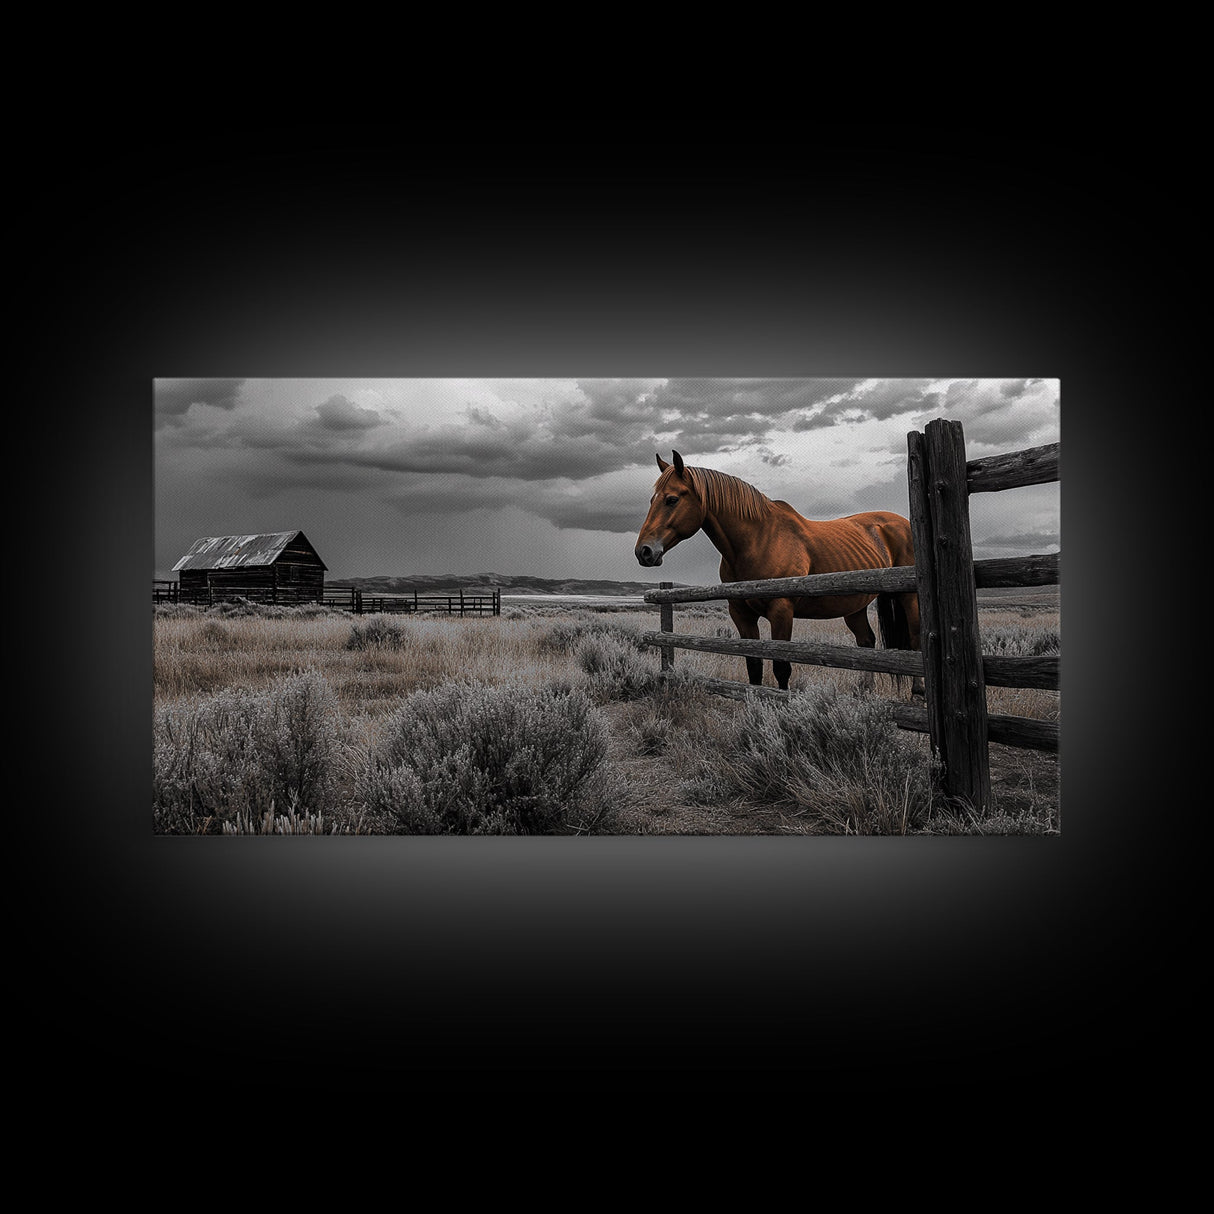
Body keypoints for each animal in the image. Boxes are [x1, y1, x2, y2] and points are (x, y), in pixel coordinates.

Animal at [634, 451, 924, 697]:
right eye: (651, 500)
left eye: (672, 499)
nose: (644, 552)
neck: (758, 540)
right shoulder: (741, 613)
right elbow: (754, 666)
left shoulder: (781, 610)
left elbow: (782, 667)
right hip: (855, 607)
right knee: (866, 643)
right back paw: (865, 693)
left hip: (909, 598)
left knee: (915, 639)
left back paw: (917, 693)